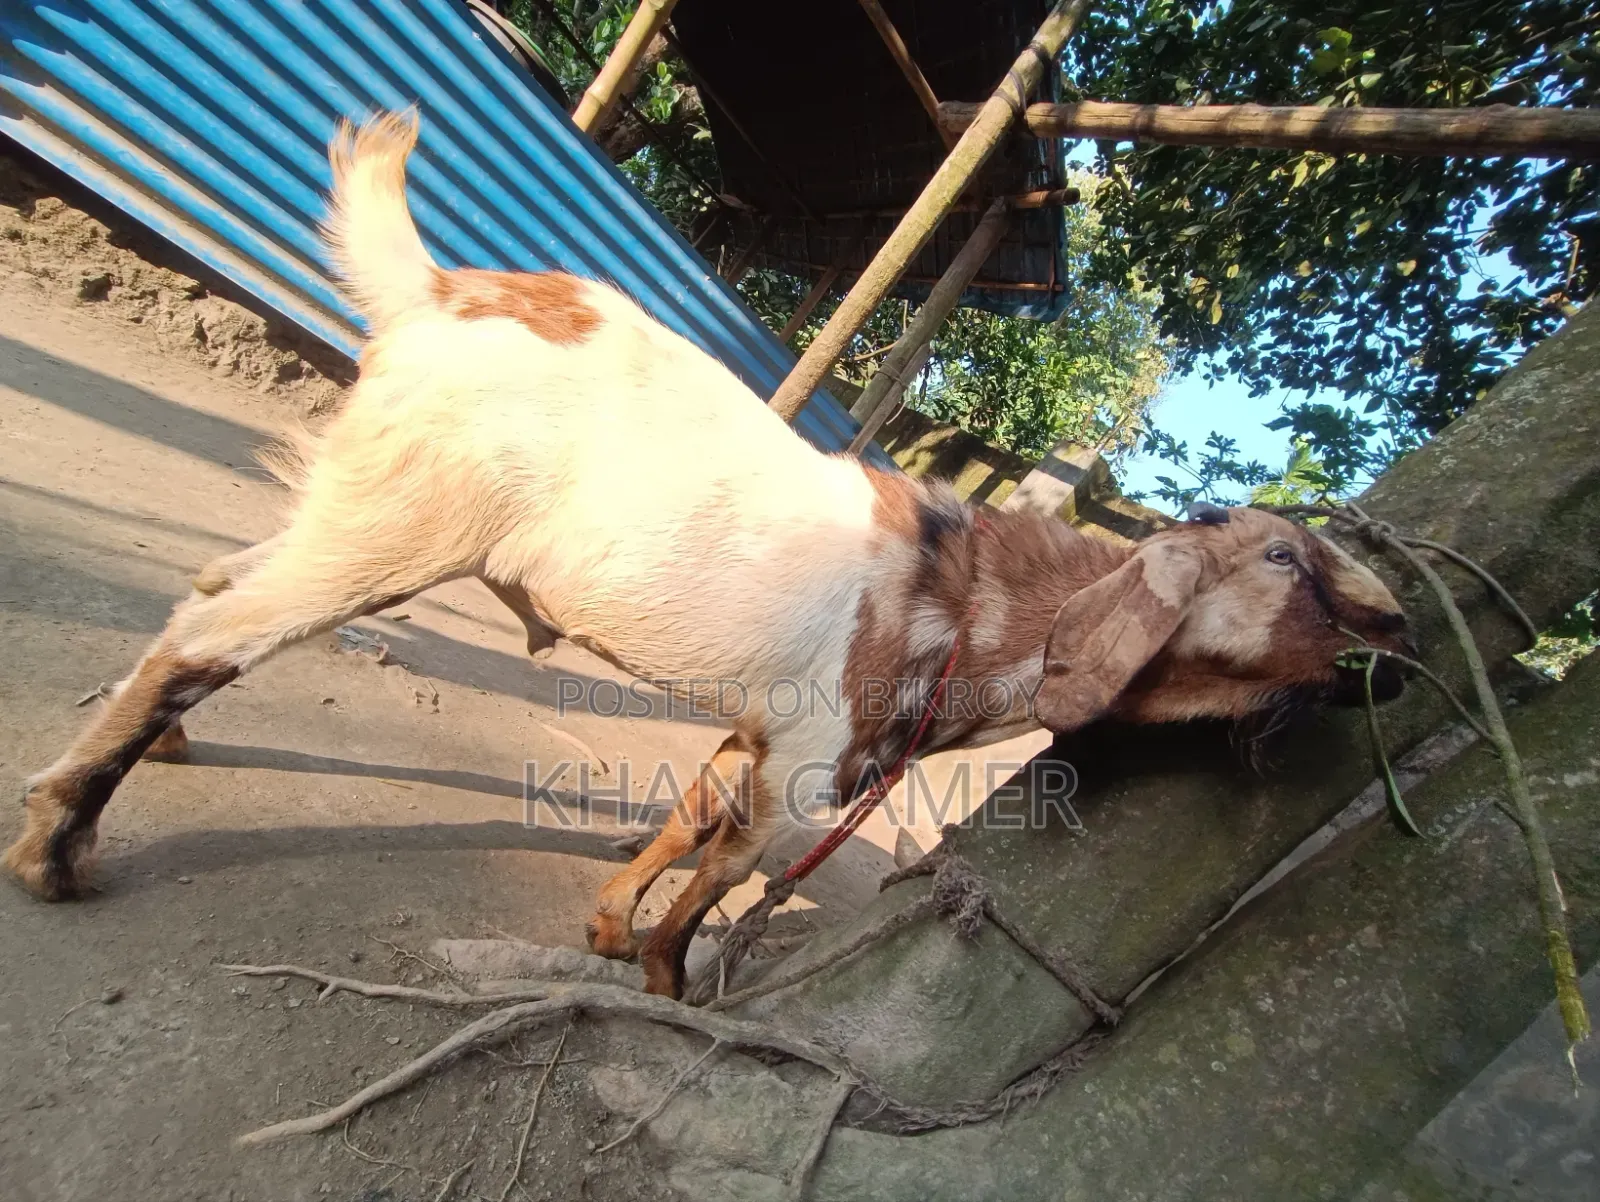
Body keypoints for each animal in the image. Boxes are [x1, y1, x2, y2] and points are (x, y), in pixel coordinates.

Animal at [3, 114, 1413, 998]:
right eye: (1288, 561)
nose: (1399, 643)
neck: (969, 604)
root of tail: (446, 294)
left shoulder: (759, 733)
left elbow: (687, 818)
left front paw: (601, 924)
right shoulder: (812, 763)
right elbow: (727, 873)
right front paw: (669, 980)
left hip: (362, 499)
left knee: (216, 583)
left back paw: (163, 751)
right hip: (409, 520)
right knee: (221, 628)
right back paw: (58, 847)